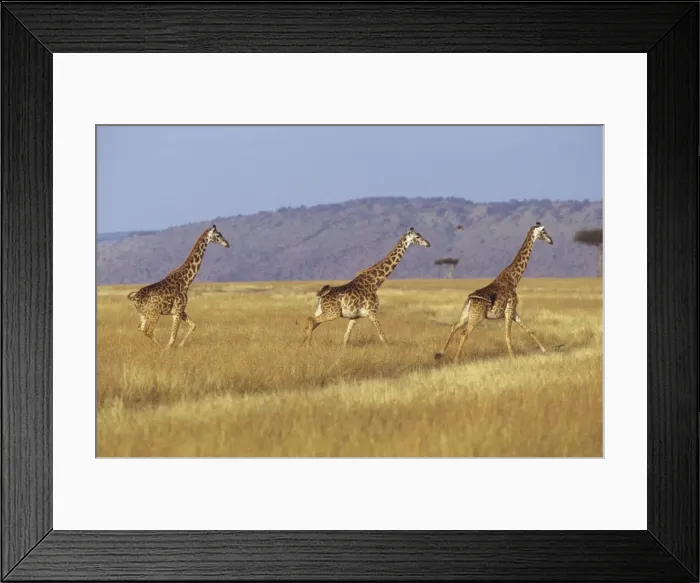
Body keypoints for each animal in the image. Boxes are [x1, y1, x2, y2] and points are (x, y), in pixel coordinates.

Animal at [302, 227, 431, 347]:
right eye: (417, 237)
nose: (428, 244)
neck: (375, 282)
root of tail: (321, 295)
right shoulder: (372, 312)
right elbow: (382, 336)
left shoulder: (355, 316)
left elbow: (346, 338)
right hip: (333, 313)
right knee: (311, 320)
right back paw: (308, 345)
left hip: (322, 311)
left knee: (309, 323)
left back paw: (302, 344)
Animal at [434, 222, 553, 363]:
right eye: (544, 231)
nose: (551, 240)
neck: (514, 279)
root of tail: (470, 299)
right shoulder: (510, 309)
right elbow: (508, 336)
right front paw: (513, 358)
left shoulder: (513, 311)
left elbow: (529, 330)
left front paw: (544, 350)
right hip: (477, 317)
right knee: (464, 333)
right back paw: (455, 359)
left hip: (466, 315)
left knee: (454, 326)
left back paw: (440, 353)